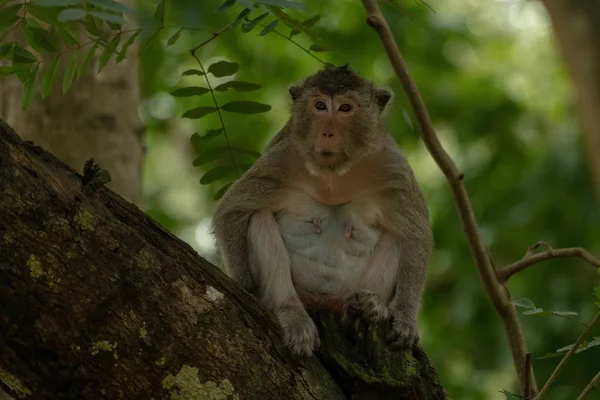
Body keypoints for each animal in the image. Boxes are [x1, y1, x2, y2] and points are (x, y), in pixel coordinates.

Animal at [211, 64, 432, 358]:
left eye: (345, 108)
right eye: (319, 106)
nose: (327, 133)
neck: (333, 174)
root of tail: (323, 303)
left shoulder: (393, 166)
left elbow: (416, 236)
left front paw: (405, 318)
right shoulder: (281, 158)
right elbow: (232, 209)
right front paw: (244, 284)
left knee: (396, 237)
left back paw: (370, 306)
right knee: (259, 219)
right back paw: (290, 312)